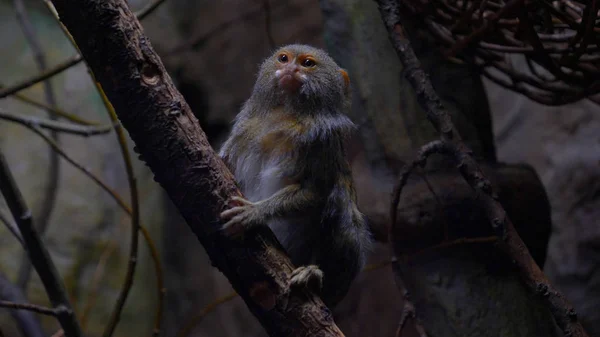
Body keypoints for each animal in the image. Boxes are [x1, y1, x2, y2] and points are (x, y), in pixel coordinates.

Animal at [218, 43, 372, 306]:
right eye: (283, 59)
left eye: (307, 63)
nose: (291, 68)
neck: (286, 114)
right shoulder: (245, 128)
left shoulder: (322, 140)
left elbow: (317, 192)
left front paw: (255, 212)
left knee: (342, 206)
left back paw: (316, 276)